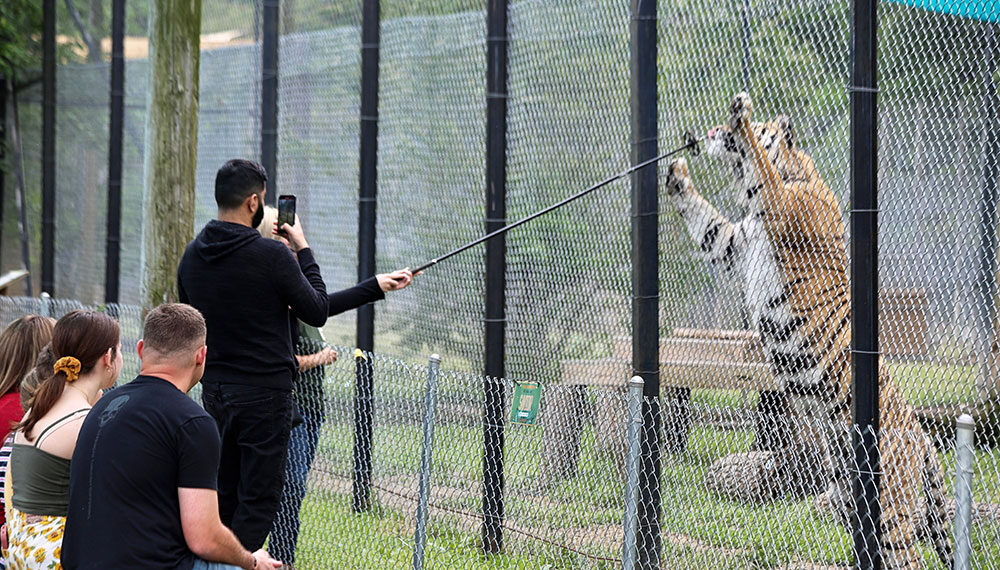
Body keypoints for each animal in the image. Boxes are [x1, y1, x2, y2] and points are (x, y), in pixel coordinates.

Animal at [662, 92, 952, 569]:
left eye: (764, 120)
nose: (714, 130)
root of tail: (923, 438)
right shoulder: (731, 245)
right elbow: (707, 221)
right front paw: (677, 176)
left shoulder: (777, 205)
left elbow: (759, 162)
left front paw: (742, 116)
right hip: (854, 503)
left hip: (891, 513)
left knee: (907, 558)